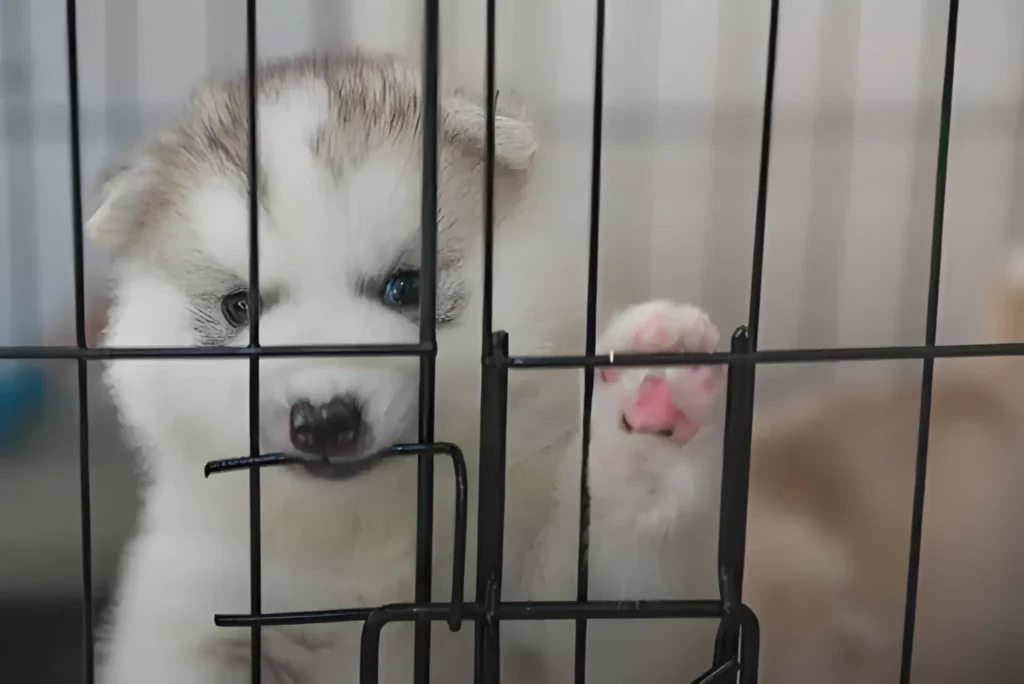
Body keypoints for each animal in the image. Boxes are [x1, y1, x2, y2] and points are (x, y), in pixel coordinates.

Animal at [90, 50, 729, 679]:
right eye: (239, 307)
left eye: (406, 288)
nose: (324, 419)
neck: (363, 535)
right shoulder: (196, 607)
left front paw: (649, 414)